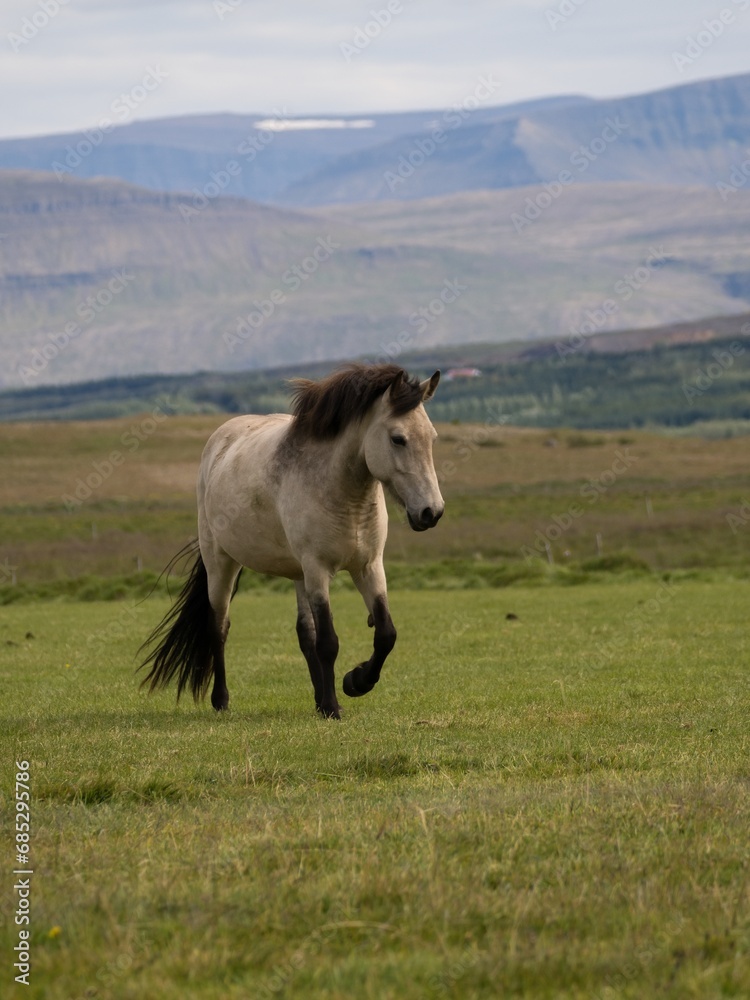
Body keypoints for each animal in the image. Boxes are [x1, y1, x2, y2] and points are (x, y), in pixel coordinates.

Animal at [138, 363, 444, 719]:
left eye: (432, 437)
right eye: (398, 439)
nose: (431, 512)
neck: (345, 496)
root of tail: (219, 440)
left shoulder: (368, 567)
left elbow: (385, 634)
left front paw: (355, 683)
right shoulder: (317, 570)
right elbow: (328, 642)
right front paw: (336, 704)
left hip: (298, 574)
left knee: (304, 633)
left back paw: (318, 699)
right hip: (222, 563)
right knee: (219, 628)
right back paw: (221, 700)